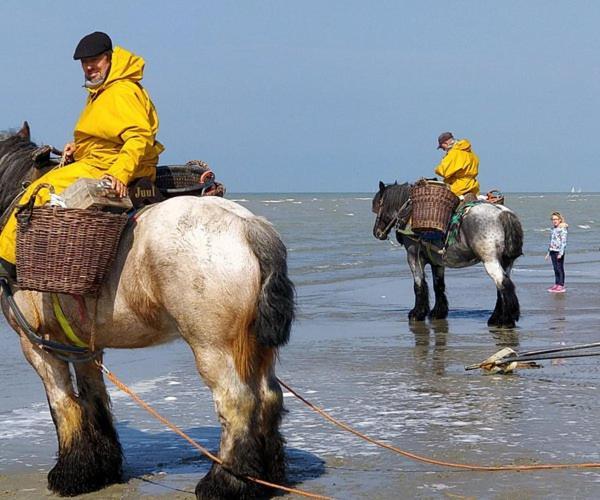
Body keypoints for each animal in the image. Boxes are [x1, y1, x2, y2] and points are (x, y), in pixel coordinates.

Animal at [0, 123, 294, 498]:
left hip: (214, 346)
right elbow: (94, 399)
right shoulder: (83, 348)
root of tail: (248, 227)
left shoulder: (37, 346)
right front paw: (101, 469)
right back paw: (268, 477)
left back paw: (225, 482)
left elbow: (62, 404)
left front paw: (69, 474)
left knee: (237, 401)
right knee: (269, 396)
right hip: (257, 345)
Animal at [372, 180, 524, 328]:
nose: (376, 232)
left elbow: (419, 284)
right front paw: (437, 312)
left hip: (490, 260)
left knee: (504, 285)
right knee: (502, 288)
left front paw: (416, 313)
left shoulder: (413, 256)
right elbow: (438, 285)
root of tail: (503, 213)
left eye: (379, 205)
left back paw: (506, 320)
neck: (409, 214)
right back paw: (496, 319)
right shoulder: (437, 262)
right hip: (505, 261)